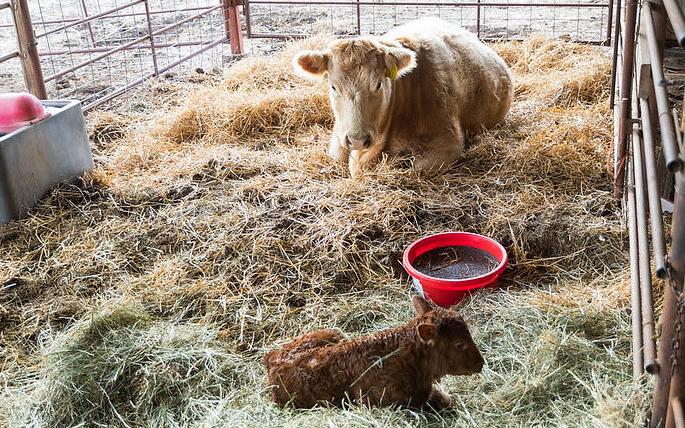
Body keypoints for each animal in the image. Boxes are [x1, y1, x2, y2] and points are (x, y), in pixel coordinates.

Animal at [293, 18, 513, 177]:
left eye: (378, 84)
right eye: (333, 86)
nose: (357, 140)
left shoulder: (449, 141)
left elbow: (414, 169)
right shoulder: (339, 135)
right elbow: (337, 156)